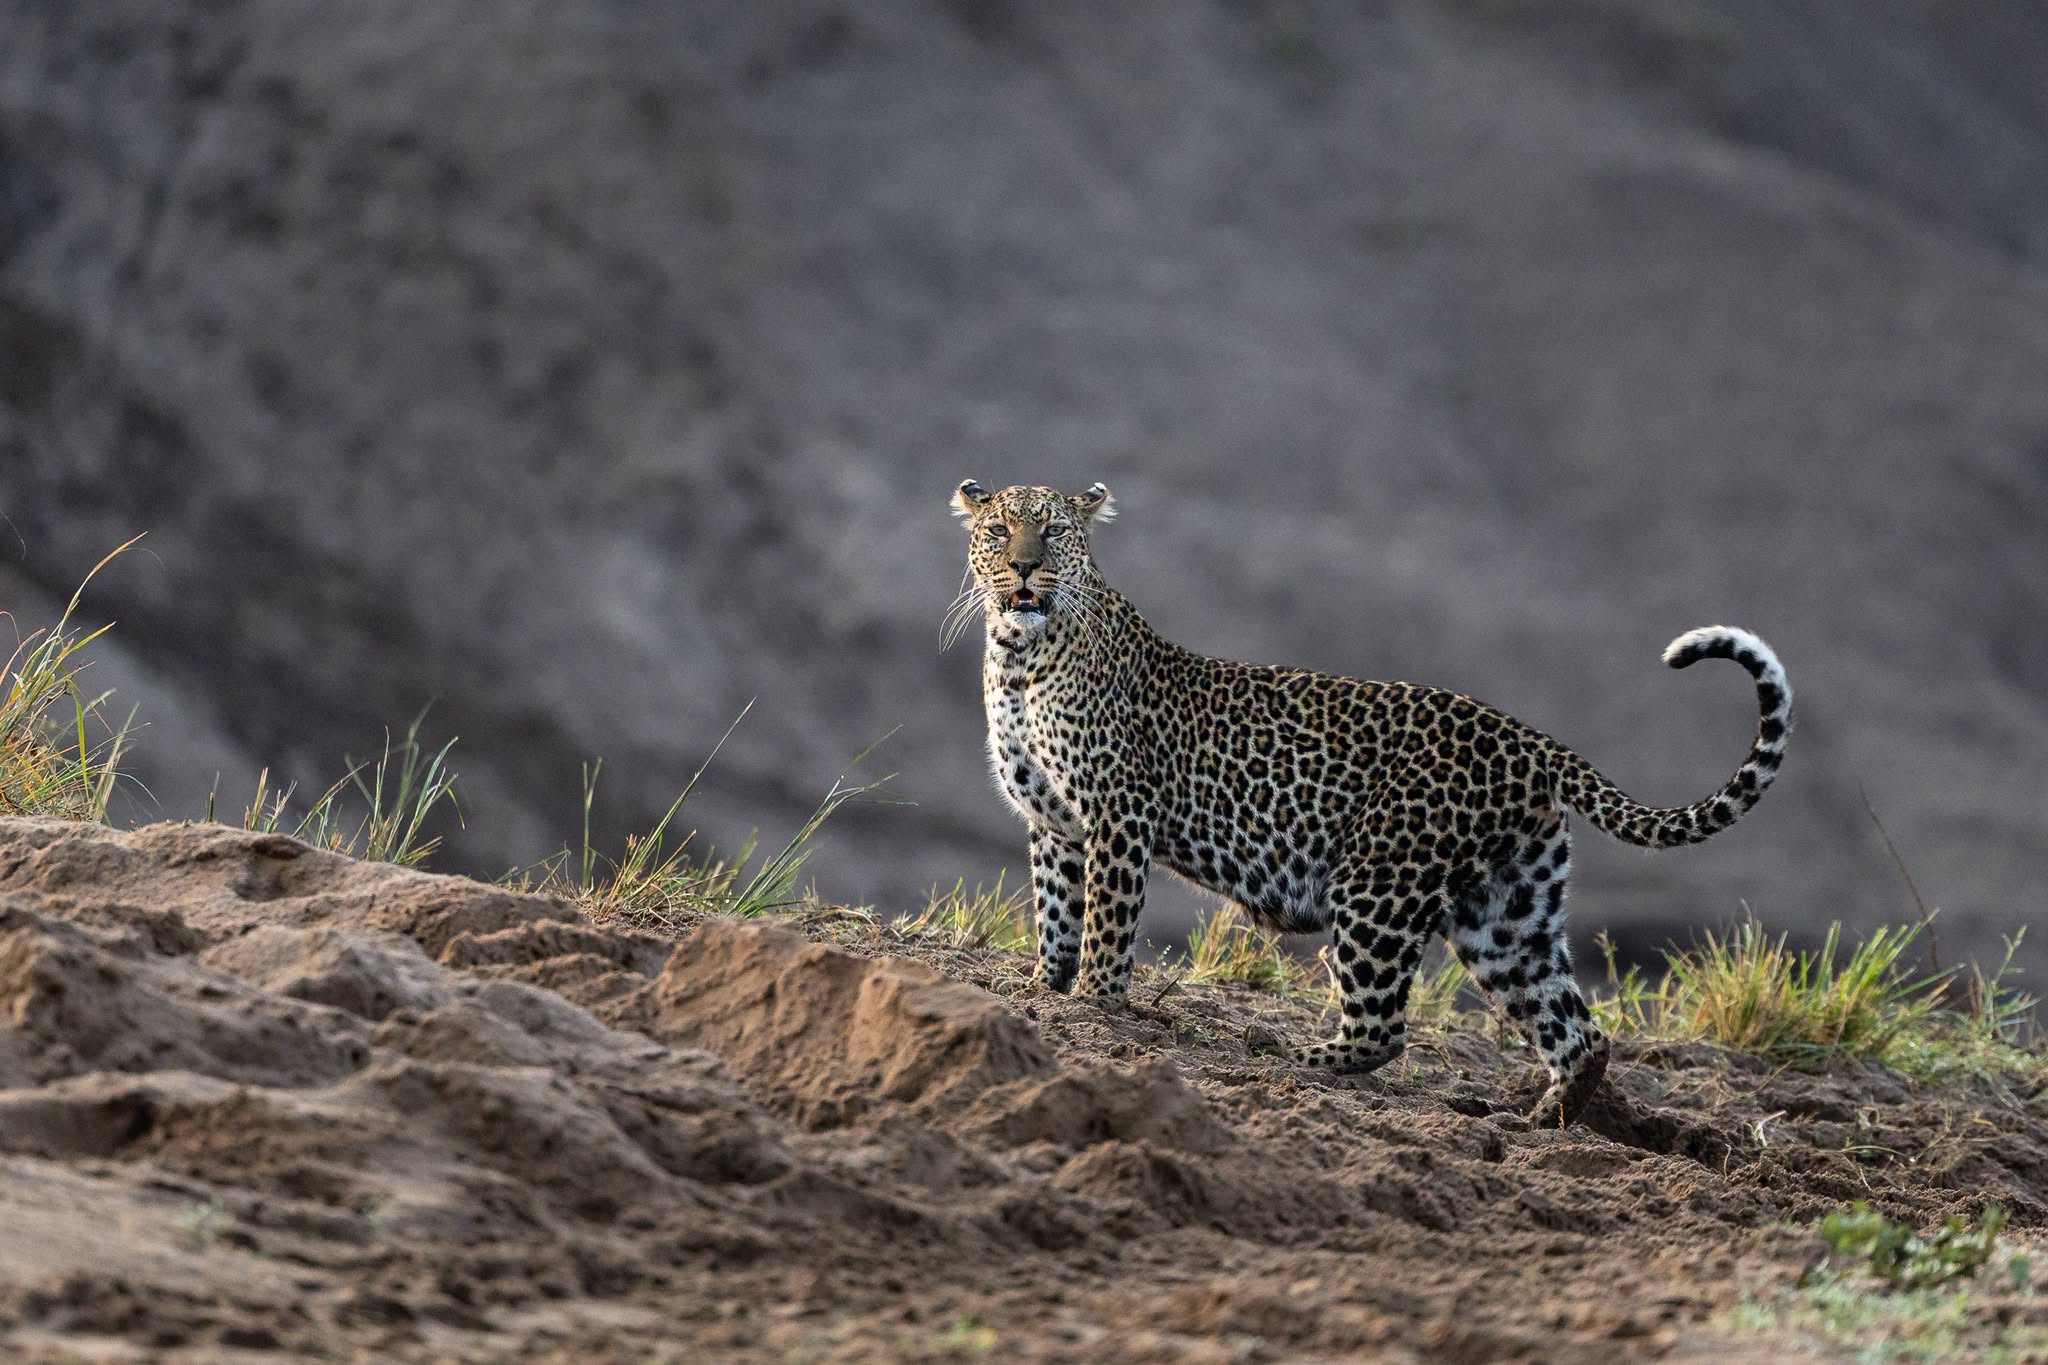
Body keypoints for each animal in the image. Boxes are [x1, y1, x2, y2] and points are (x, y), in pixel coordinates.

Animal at [948, 480, 1792, 1128]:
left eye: (1053, 532)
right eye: (998, 531)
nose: (1024, 568)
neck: (1020, 656)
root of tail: (1529, 737)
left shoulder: (1116, 814)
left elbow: (1106, 921)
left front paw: (1096, 1002)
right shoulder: (1054, 823)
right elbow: (1056, 910)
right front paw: (1046, 987)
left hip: (1378, 883)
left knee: (1384, 1025)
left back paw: (1292, 1053)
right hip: (1507, 911)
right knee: (1578, 1031)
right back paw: (1543, 1121)